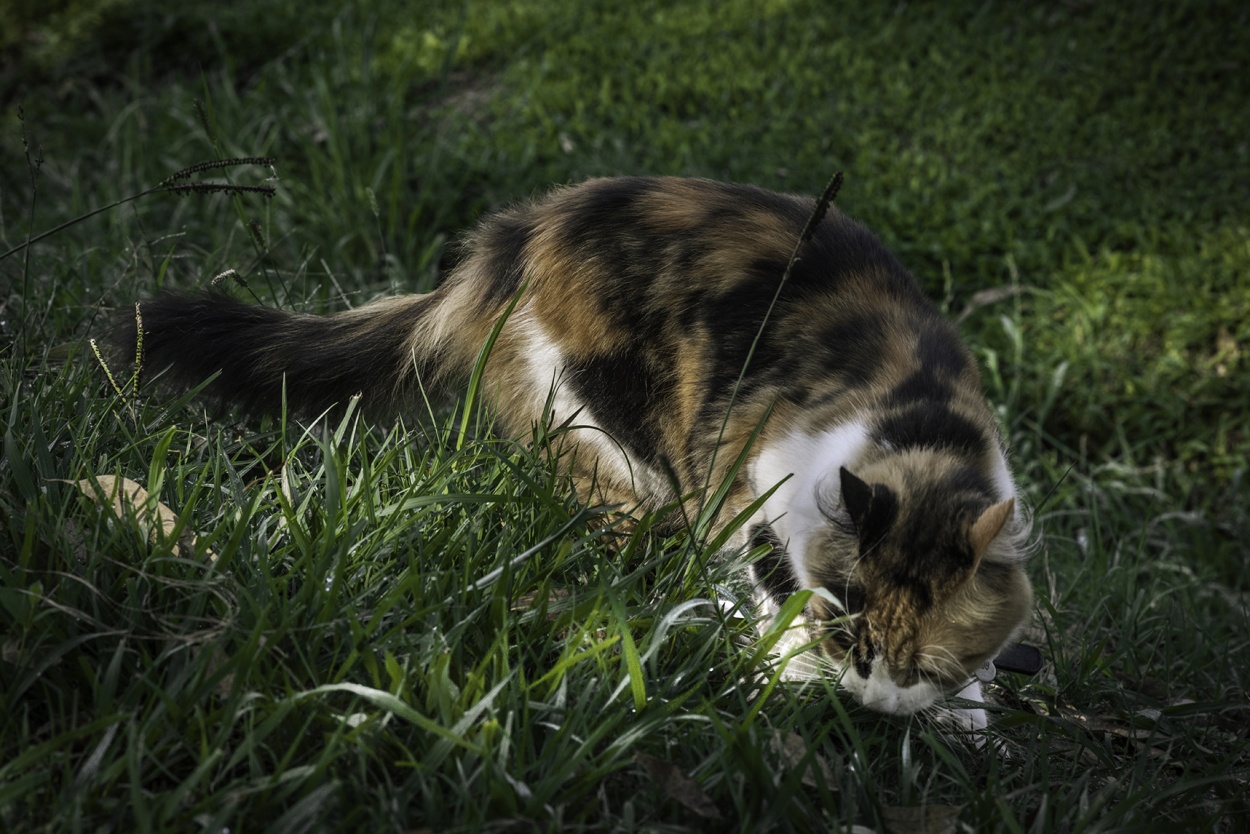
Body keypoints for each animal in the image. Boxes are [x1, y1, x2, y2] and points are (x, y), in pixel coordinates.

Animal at [119, 175, 1035, 730]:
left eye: (917, 664)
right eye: (853, 642)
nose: (872, 705)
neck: (917, 425)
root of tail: (517, 232)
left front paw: (966, 718)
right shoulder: (743, 498)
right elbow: (757, 584)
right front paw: (782, 668)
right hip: (608, 435)